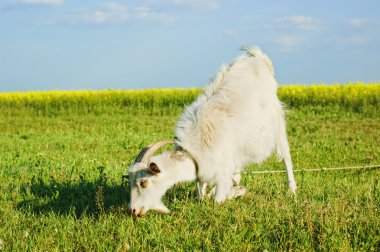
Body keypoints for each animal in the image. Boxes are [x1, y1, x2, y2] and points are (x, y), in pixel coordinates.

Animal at [126, 46, 296, 217]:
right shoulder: (207, 168)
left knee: (286, 156)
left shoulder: (222, 170)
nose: (133, 210)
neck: (196, 148)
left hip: (278, 122)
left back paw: (292, 189)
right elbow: (202, 193)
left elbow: (217, 201)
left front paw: (226, 197)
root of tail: (257, 58)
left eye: (144, 182)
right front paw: (217, 193)